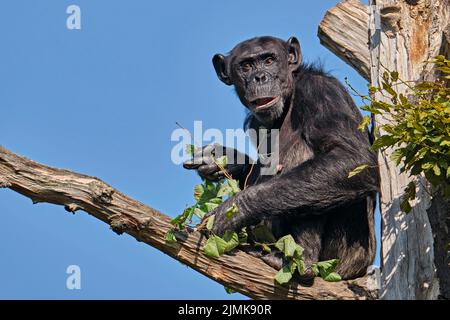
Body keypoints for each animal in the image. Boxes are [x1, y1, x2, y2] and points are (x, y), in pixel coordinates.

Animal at [184, 36, 380, 278]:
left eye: (269, 60)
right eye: (246, 66)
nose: (260, 77)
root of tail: (361, 270)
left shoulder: (321, 91)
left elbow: (353, 158)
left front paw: (232, 211)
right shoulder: (255, 123)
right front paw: (223, 158)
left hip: (342, 259)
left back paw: (300, 260)